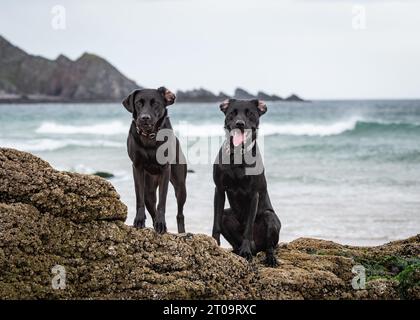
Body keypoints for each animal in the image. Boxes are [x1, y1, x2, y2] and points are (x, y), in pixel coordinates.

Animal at [121, 86, 187, 234]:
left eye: (155, 103)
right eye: (138, 103)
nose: (144, 118)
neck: (150, 135)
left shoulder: (165, 169)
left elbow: (162, 201)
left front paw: (161, 223)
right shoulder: (137, 167)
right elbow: (139, 196)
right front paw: (139, 220)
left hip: (180, 186)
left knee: (180, 213)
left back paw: (180, 231)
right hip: (149, 190)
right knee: (150, 204)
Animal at [212, 99, 280, 266]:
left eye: (250, 114)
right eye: (232, 113)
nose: (240, 123)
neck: (238, 154)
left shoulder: (254, 194)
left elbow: (248, 228)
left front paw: (246, 251)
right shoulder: (219, 189)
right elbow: (216, 223)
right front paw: (214, 244)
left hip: (270, 217)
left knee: (269, 246)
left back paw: (269, 257)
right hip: (226, 215)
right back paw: (236, 251)